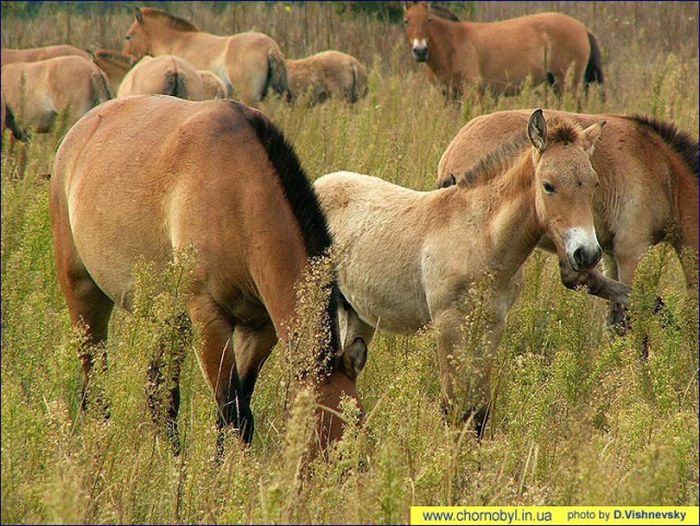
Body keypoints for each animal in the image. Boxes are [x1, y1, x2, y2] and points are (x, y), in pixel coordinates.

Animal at [49, 96, 366, 458]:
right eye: (325, 440)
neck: (239, 194)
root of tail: (78, 132)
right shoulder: (209, 318)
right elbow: (234, 413)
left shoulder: (259, 329)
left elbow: (233, 412)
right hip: (83, 292)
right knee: (95, 384)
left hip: (172, 317)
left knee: (159, 393)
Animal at [314, 110, 608, 438]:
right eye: (548, 185)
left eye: (594, 184)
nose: (587, 254)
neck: (481, 237)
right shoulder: (448, 323)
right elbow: (452, 406)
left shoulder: (492, 324)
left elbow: (478, 410)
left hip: (358, 314)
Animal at [434, 110, 696, 328]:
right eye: (548, 185)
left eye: (595, 184)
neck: (661, 170)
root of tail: (455, 149)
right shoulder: (630, 251)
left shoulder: (609, 255)